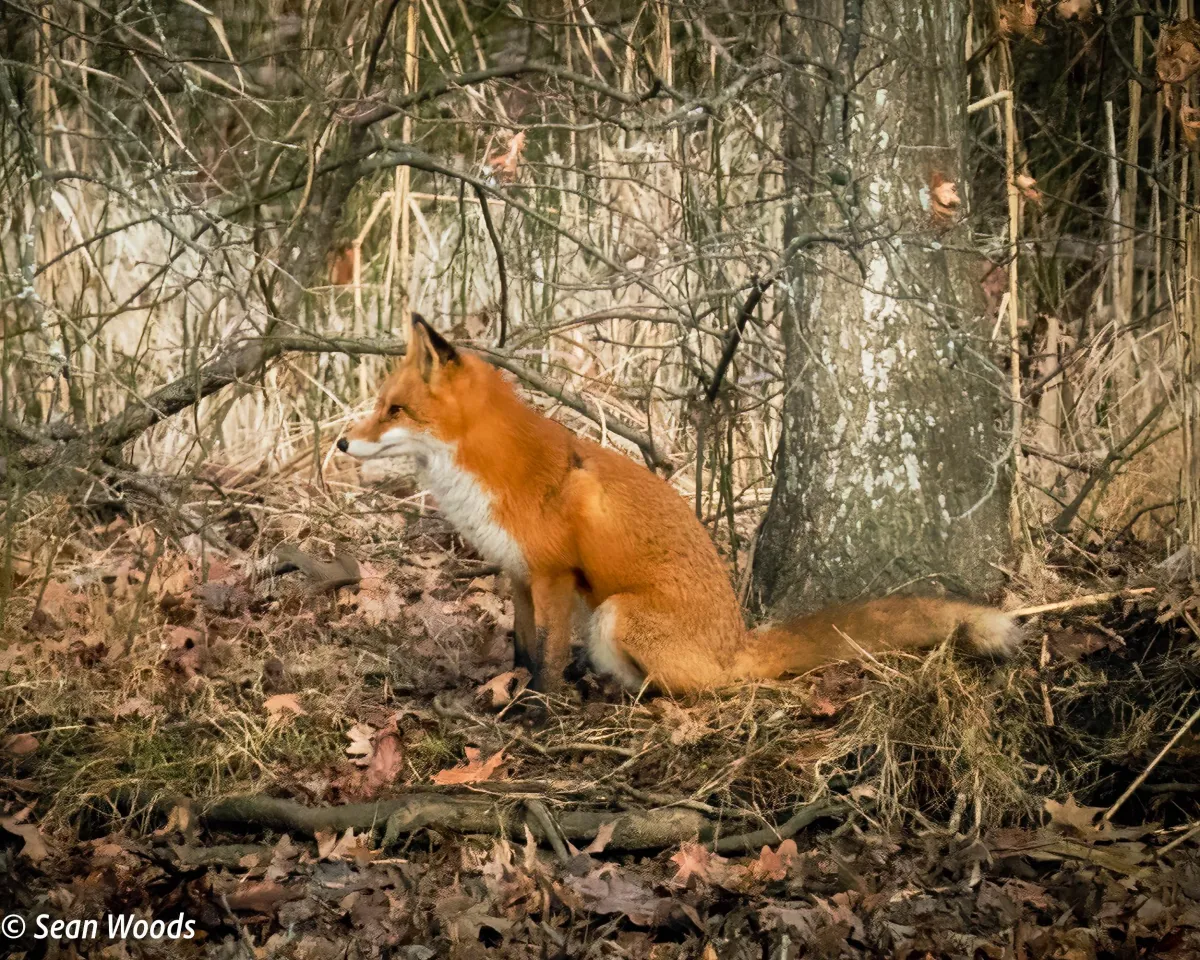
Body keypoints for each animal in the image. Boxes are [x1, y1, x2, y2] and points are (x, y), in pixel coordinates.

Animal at [338, 314, 1023, 696]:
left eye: (395, 410)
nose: (342, 443)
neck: (491, 472)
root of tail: (736, 643)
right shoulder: (519, 574)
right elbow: (524, 647)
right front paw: (514, 688)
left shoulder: (554, 574)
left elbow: (549, 656)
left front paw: (538, 709)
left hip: (615, 613)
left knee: (690, 689)